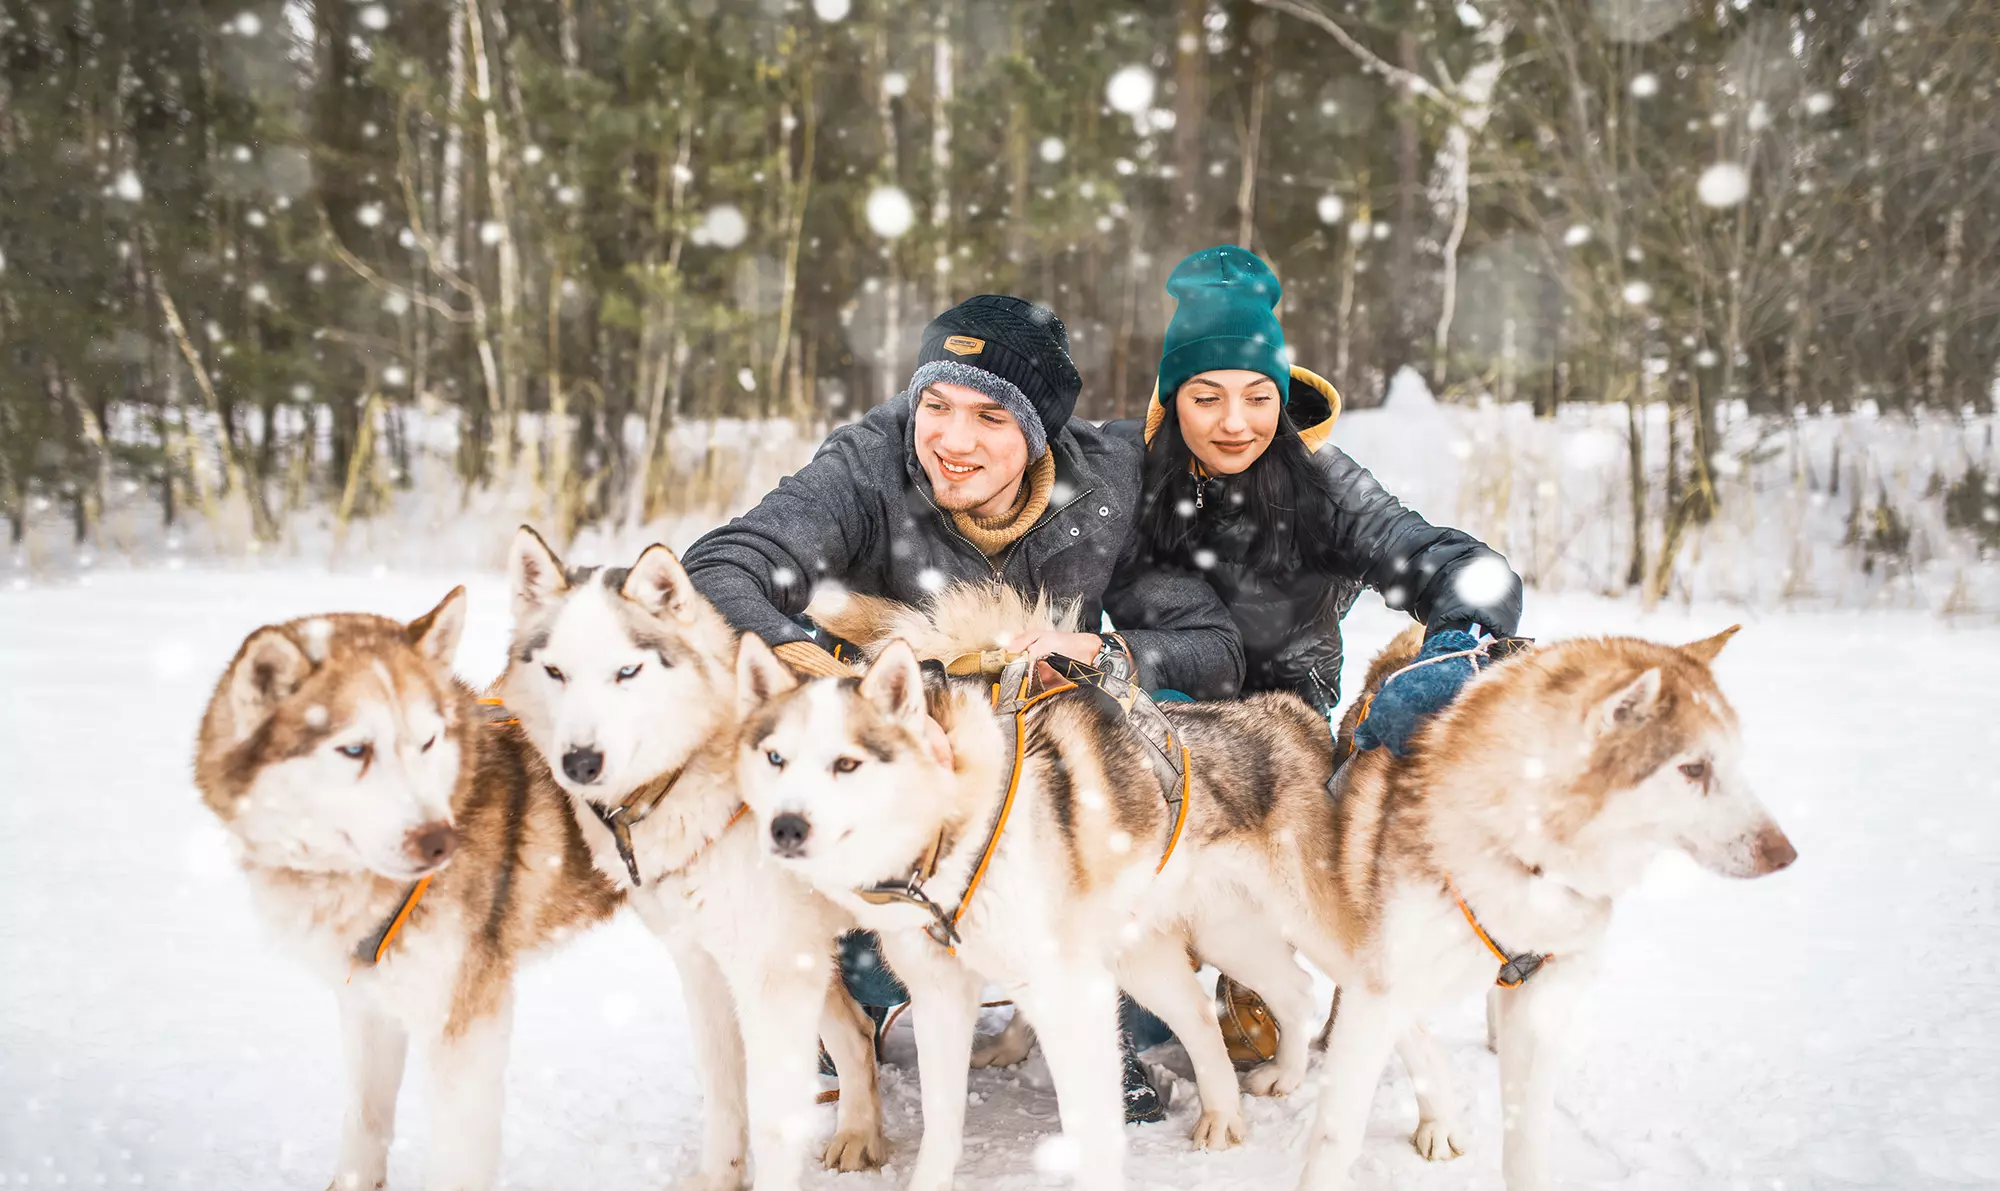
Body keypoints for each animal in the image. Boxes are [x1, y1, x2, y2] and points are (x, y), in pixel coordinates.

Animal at [196, 591, 620, 1183]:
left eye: (427, 741)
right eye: (354, 750)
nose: (441, 841)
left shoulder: (467, 1028)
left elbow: (457, 1165)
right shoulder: (368, 1004)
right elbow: (364, 1127)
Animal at [492, 531, 884, 1191]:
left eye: (627, 670)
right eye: (555, 672)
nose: (580, 761)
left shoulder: (770, 979)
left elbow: (773, 1119)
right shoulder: (705, 965)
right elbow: (725, 1096)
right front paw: (719, 1177)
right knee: (857, 1036)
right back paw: (860, 1136)